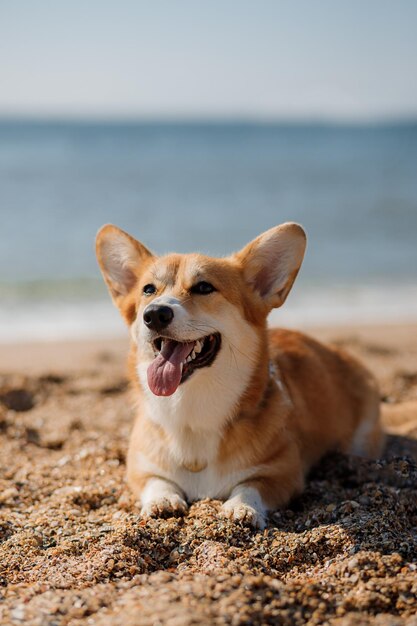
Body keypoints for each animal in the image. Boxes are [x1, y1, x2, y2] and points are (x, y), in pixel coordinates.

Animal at [96, 222, 382, 524]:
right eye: (148, 289)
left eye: (204, 287)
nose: (155, 314)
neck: (192, 412)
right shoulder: (141, 468)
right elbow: (157, 481)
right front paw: (163, 500)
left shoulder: (283, 472)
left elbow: (250, 485)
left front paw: (242, 507)